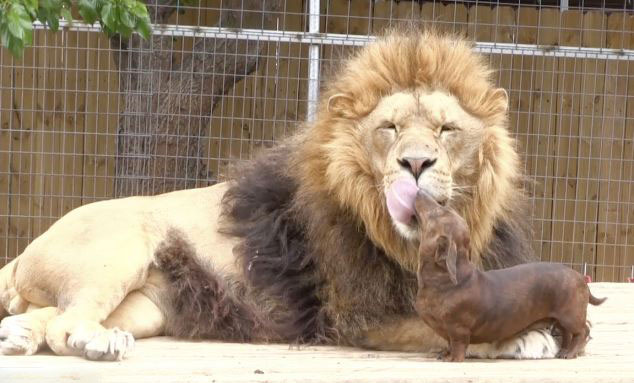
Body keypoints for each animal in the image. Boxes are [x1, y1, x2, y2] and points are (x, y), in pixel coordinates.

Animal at [0, 28, 556, 362]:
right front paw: (524, 336)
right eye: (390, 128)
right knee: (65, 325)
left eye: (446, 130)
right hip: (117, 253)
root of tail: (30, 246)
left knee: (47, 315)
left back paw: (22, 337)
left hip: (147, 306)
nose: (415, 164)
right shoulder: (359, 316)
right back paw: (93, 342)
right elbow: (447, 327)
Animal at [412, 191, 604, 364]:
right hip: (560, 319)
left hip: (570, 315)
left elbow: (458, 346)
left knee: (582, 331)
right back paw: (564, 350)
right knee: (567, 333)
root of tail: (580, 277)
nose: (419, 191)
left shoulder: (459, 329)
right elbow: (448, 344)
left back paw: (570, 353)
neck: (444, 281)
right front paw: (444, 354)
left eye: (439, 212)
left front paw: (453, 359)